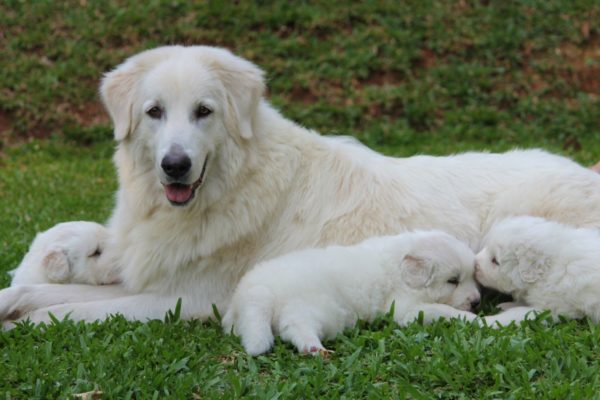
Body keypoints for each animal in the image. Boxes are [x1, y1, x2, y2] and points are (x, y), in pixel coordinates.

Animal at [2, 45, 600, 326]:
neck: (233, 188)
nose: (175, 166)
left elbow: (67, 311)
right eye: (154, 112)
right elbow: (42, 292)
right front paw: (13, 301)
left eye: (203, 112)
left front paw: (26, 324)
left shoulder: (187, 299)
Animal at [223, 231, 480, 356]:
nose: (477, 301)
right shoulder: (406, 308)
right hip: (319, 308)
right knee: (295, 326)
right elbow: (443, 309)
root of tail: (256, 292)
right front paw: (476, 319)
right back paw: (314, 347)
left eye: (472, 276)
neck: (400, 268)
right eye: (453, 281)